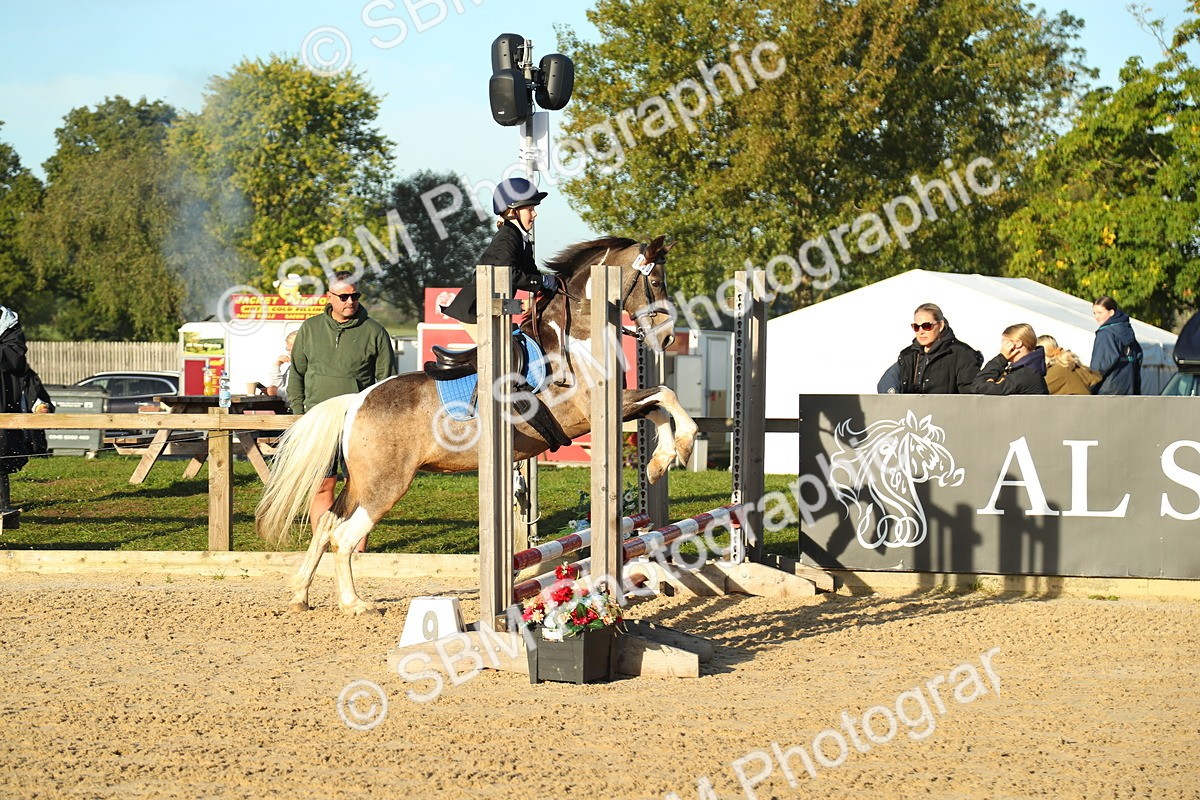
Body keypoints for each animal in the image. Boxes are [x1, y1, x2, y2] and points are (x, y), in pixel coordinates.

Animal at [255, 235, 699, 614]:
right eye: (655, 280)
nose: (666, 338)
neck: (577, 335)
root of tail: (357, 400)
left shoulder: (615, 408)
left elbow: (658, 406)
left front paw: (659, 462)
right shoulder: (592, 411)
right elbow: (664, 394)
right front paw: (685, 446)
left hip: (361, 482)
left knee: (327, 524)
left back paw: (301, 594)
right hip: (385, 485)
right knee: (343, 537)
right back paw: (353, 604)